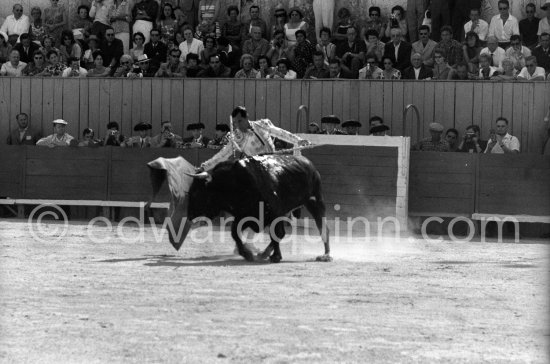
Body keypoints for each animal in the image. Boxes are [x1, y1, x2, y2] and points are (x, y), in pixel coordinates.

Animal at [147, 153, 334, 262]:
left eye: (196, 192)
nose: (190, 214)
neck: (235, 184)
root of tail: (309, 164)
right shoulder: (245, 215)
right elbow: (234, 233)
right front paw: (248, 253)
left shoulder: (274, 214)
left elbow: (276, 234)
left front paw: (274, 256)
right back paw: (263, 253)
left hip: (315, 201)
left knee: (322, 227)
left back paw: (326, 255)